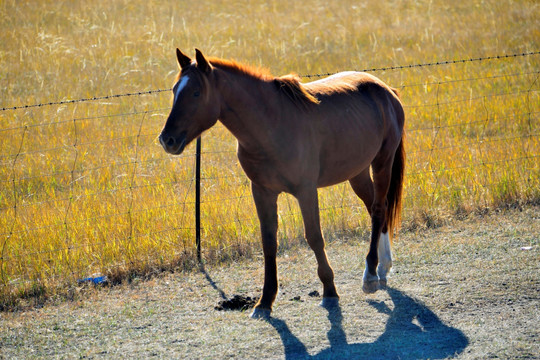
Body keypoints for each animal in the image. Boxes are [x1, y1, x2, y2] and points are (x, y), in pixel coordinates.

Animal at [159, 48, 404, 318]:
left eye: (196, 92)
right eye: (174, 90)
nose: (167, 139)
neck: (271, 125)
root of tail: (386, 90)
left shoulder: (306, 190)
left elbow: (314, 237)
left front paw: (329, 290)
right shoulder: (262, 191)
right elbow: (268, 242)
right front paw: (265, 301)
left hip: (382, 162)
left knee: (379, 210)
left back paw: (370, 275)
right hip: (357, 173)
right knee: (376, 208)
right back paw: (383, 268)